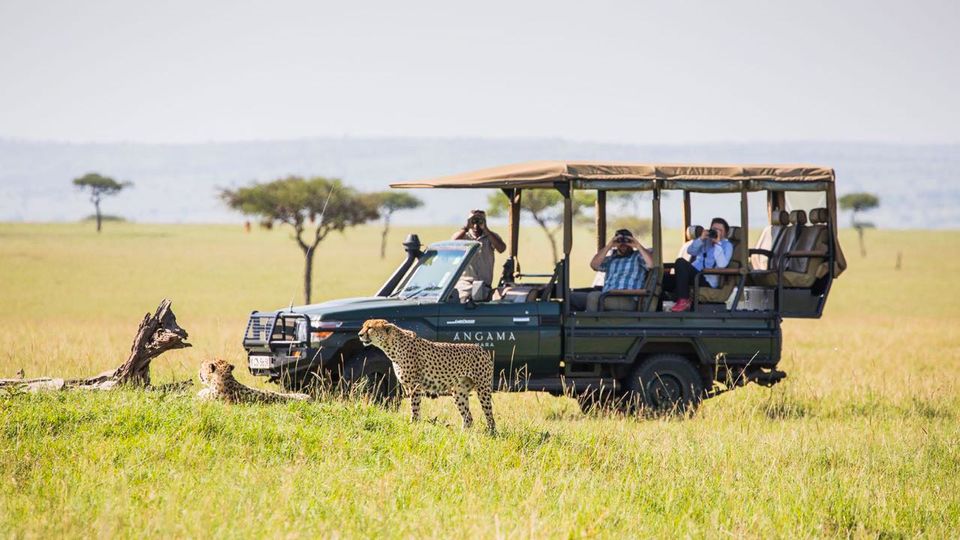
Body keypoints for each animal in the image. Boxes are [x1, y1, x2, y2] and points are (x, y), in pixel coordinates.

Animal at [358, 318, 496, 432]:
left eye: (370, 327)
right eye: (363, 326)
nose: (359, 334)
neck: (392, 346)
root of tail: (481, 349)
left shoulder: (415, 385)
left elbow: (414, 407)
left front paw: (413, 424)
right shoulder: (408, 386)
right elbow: (415, 407)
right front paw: (416, 424)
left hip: (483, 389)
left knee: (489, 415)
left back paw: (492, 433)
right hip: (459, 392)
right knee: (468, 417)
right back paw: (463, 435)